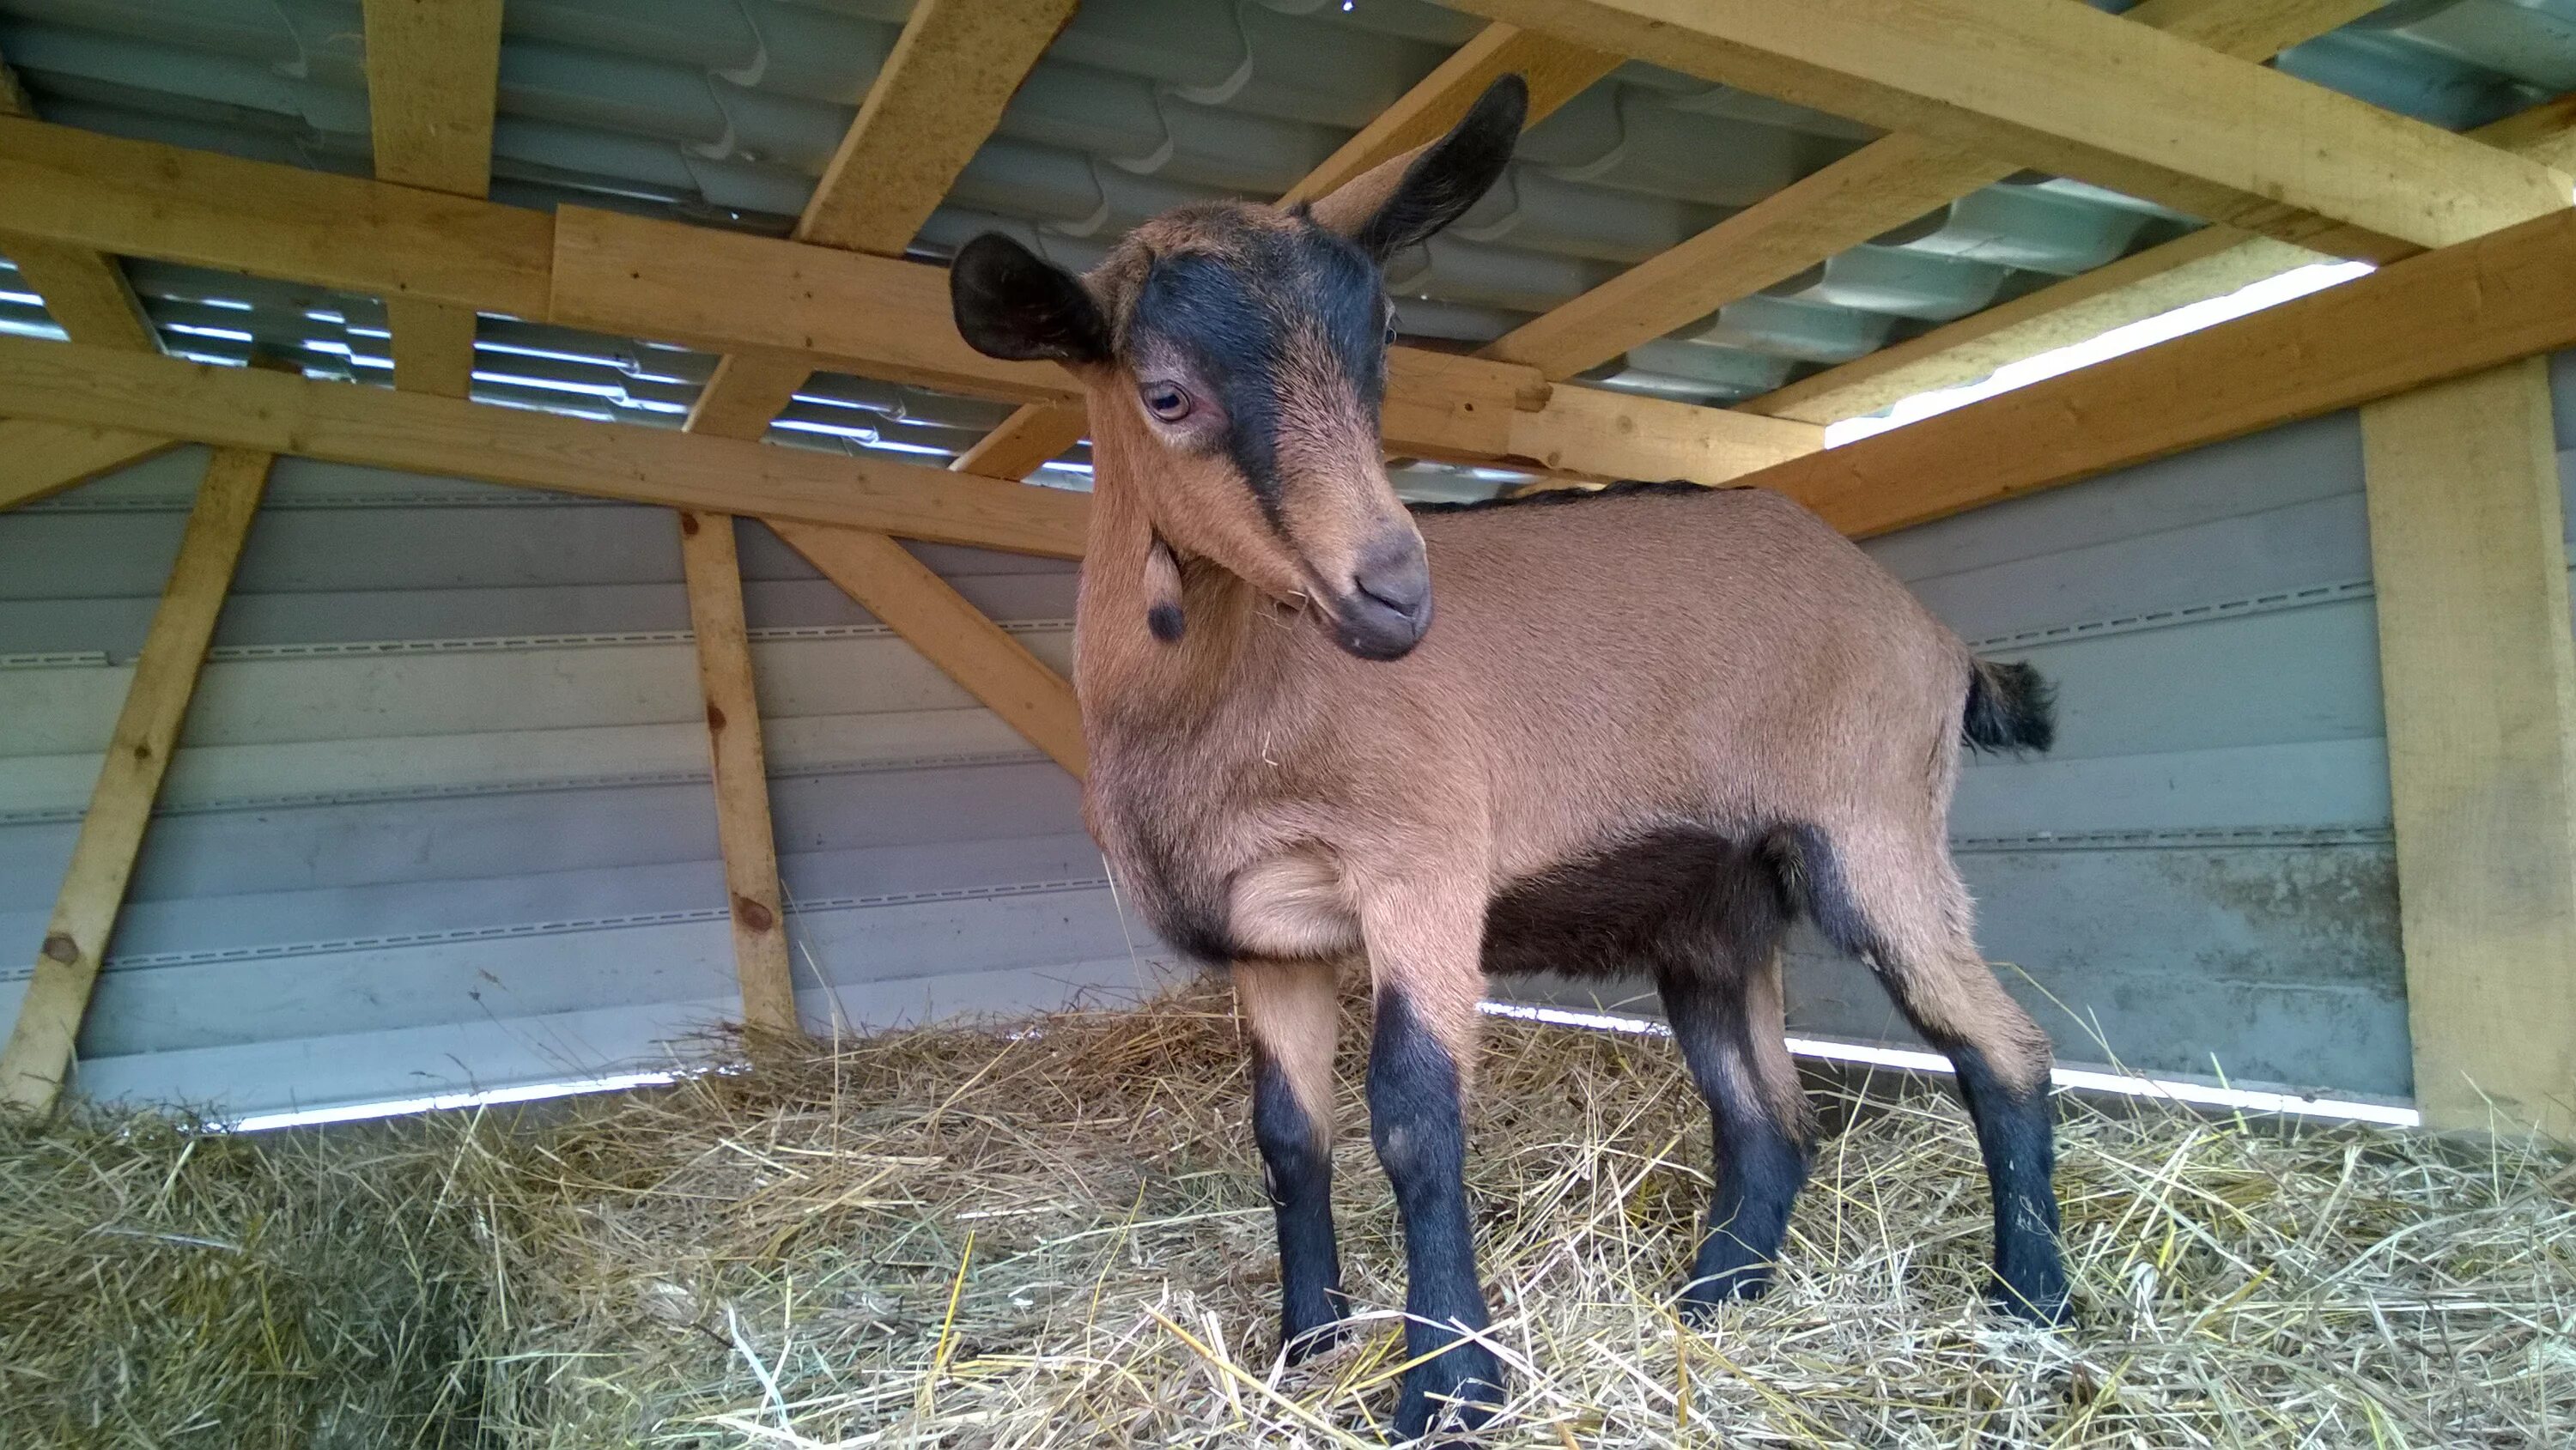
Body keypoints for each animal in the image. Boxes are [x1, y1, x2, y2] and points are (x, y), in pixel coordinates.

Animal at [958, 76, 2061, 1442]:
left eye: (1382, 348)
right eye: (1166, 394)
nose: (1393, 591)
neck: (1238, 696)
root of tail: (1936, 641)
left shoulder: (1422, 869)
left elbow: (1415, 1118)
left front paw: (1447, 1387)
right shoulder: (1272, 937)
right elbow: (1288, 1135)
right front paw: (1306, 1345)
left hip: (1875, 827)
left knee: (1998, 1047)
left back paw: (2029, 1309)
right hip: (1716, 908)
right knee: (1769, 1118)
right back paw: (1709, 1305)